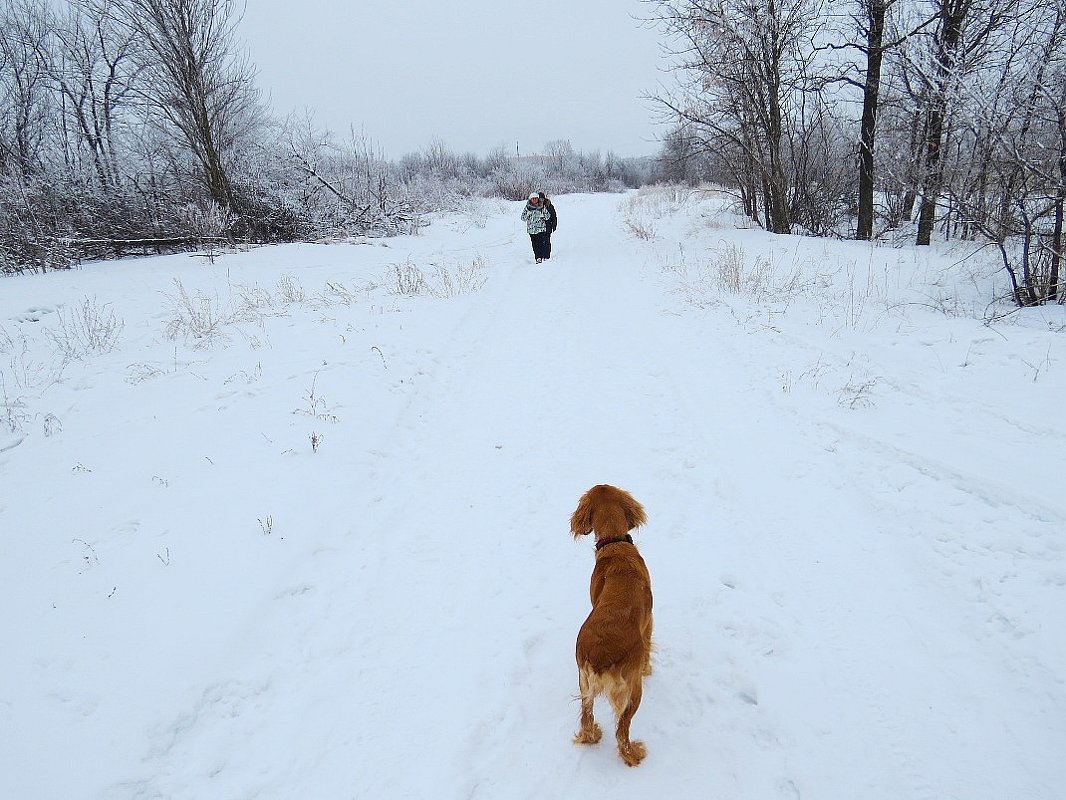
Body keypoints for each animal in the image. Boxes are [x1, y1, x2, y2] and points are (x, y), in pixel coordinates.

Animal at [571, 486, 652, 768]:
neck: (615, 544)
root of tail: (598, 656)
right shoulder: (649, 623)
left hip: (583, 683)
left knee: (586, 717)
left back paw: (592, 735)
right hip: (632, 689)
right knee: (622, 731)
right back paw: (634, 754)